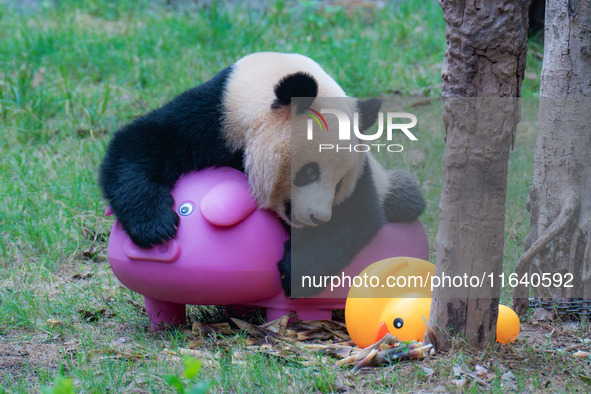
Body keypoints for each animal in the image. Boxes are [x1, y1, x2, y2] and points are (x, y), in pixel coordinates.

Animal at [99, 51, 424, 296]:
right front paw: (156, 226)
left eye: (340, 182)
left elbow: (356, 215)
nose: (318, 217)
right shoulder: (215, 115)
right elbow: (141, 143)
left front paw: (295, 270)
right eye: (309, 172)